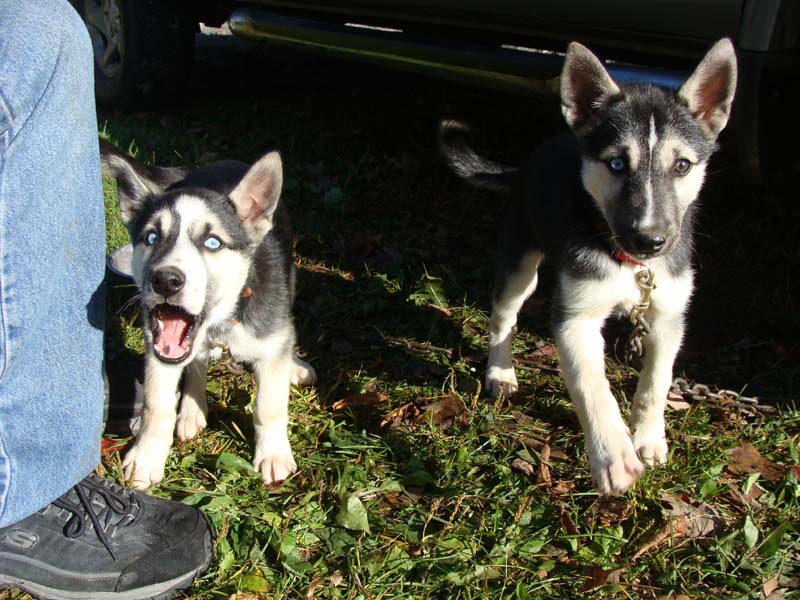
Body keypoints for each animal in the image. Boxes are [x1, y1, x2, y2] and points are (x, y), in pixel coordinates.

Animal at [103, 143, 318, 490]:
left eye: (212, 242)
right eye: (151, 238)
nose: (166, 281)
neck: (220, 324)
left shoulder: (270, 331)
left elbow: (269, 405)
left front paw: (272, 453)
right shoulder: (157, 349)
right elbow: (156, 406)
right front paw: (147, 457)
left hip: (289, 277)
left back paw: (294, 366)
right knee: (196, 366)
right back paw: (192, 410)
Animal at [444, 39, 736, 494]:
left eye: (682, 165)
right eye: (616, 164)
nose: (650, 241)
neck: (629, 264)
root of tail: (531, 158)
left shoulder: (668, 315)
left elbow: (656, 381)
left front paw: (648, 438)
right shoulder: (575, 317)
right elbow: (592, 386)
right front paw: (613, 455)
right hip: (519, 264)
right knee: (503, 317)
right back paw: (501, 371)